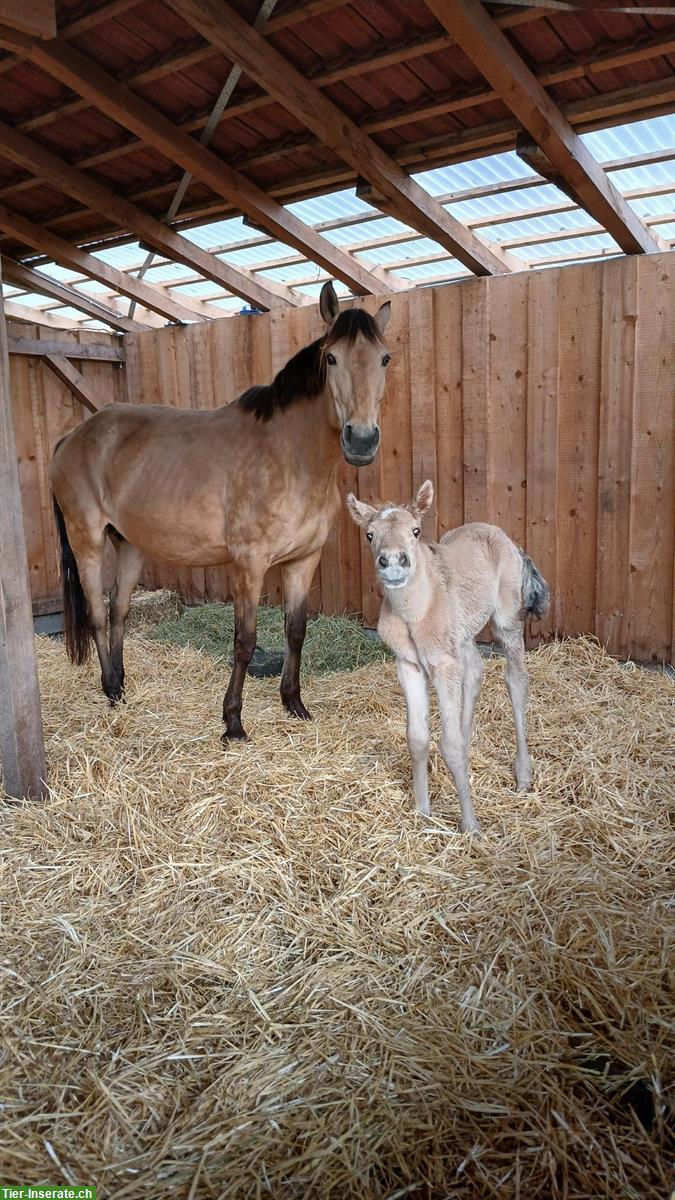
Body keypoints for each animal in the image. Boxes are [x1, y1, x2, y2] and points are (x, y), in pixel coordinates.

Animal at [51, 283, 389, 739]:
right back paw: (108, 689)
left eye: (385, 358)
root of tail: (73, 436)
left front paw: (294, 704)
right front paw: (233, 722)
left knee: (119, 610)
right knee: (98, 615)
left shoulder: (303, 560)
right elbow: (244, 641)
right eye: (331, 357)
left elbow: (295, 631)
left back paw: (121, 688)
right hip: (86, 539)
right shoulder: (249, 564)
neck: (289, 456)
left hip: (129, 545)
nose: (362, 441)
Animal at [345, 482, 547, 830]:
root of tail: (506, 539)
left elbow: (449, 745)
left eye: (415, 530)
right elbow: (417, 738)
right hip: (463, 635)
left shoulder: (442, 664)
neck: (416, 612)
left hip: (506, 619)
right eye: (369, 535)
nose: (394, 563)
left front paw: (471, 827)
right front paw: (421, 810)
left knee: (516, 681)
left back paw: (523, 776)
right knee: (475, 670)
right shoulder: (409, 665)